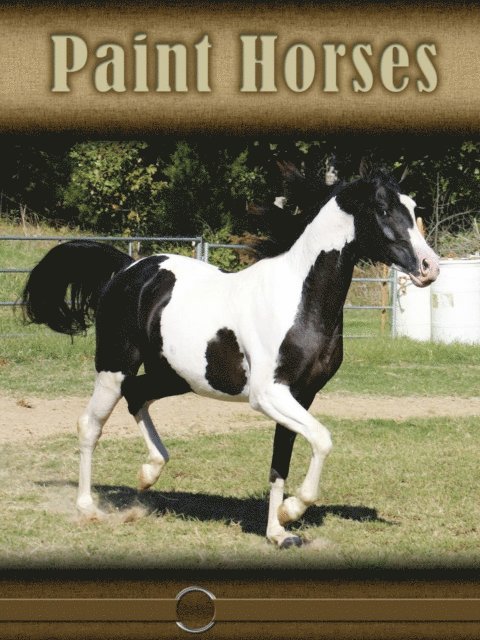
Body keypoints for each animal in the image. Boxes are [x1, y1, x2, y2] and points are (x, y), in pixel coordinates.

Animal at [21, 166, 440, 549]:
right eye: (383, 209)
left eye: (412, 207)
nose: (430, 268)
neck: (299, 300)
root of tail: (127, 269)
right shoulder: (268, 395)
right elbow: (322, 440)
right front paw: (291, 510)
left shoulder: (302, 395)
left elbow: (280, 463)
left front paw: (278, 533)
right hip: (114, 368)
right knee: (90, 424)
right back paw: (87, 506)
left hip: (175, 376)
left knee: (137, 395)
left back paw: (148, 473)